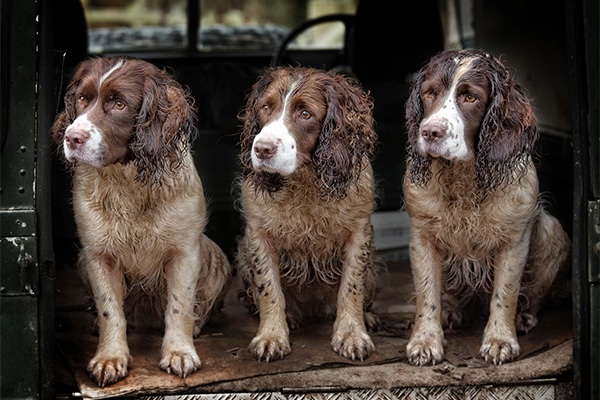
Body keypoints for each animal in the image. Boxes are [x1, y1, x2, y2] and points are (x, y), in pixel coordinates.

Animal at [51, 54, 232, 386]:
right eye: (82, 99)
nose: (72, 137)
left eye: (119, 104)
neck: (129, 183)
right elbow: (110, 310)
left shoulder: (185, 252)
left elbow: (179, 306)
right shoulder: (98, 255)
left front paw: (179, 352)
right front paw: (110, 358)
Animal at [236, 66, 380, 362]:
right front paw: (271, 335)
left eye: (305, 114)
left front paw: (351, 334)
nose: (261, 149)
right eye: (265, 107)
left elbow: (352, 287)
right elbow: (269, 289)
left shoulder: (359, 232)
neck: (304, 180)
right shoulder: (258, 235)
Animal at [404, 49, 568, 366]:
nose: (429, 132)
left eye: (470, 97)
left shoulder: (514, 241)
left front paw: (500, 340)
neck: (464, 178)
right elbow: (427, 295)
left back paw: (524, 317)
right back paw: (451, 310)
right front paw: (425, 340)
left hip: (552, 232)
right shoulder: (422, 236)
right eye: (429, 93)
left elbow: (505, 294)